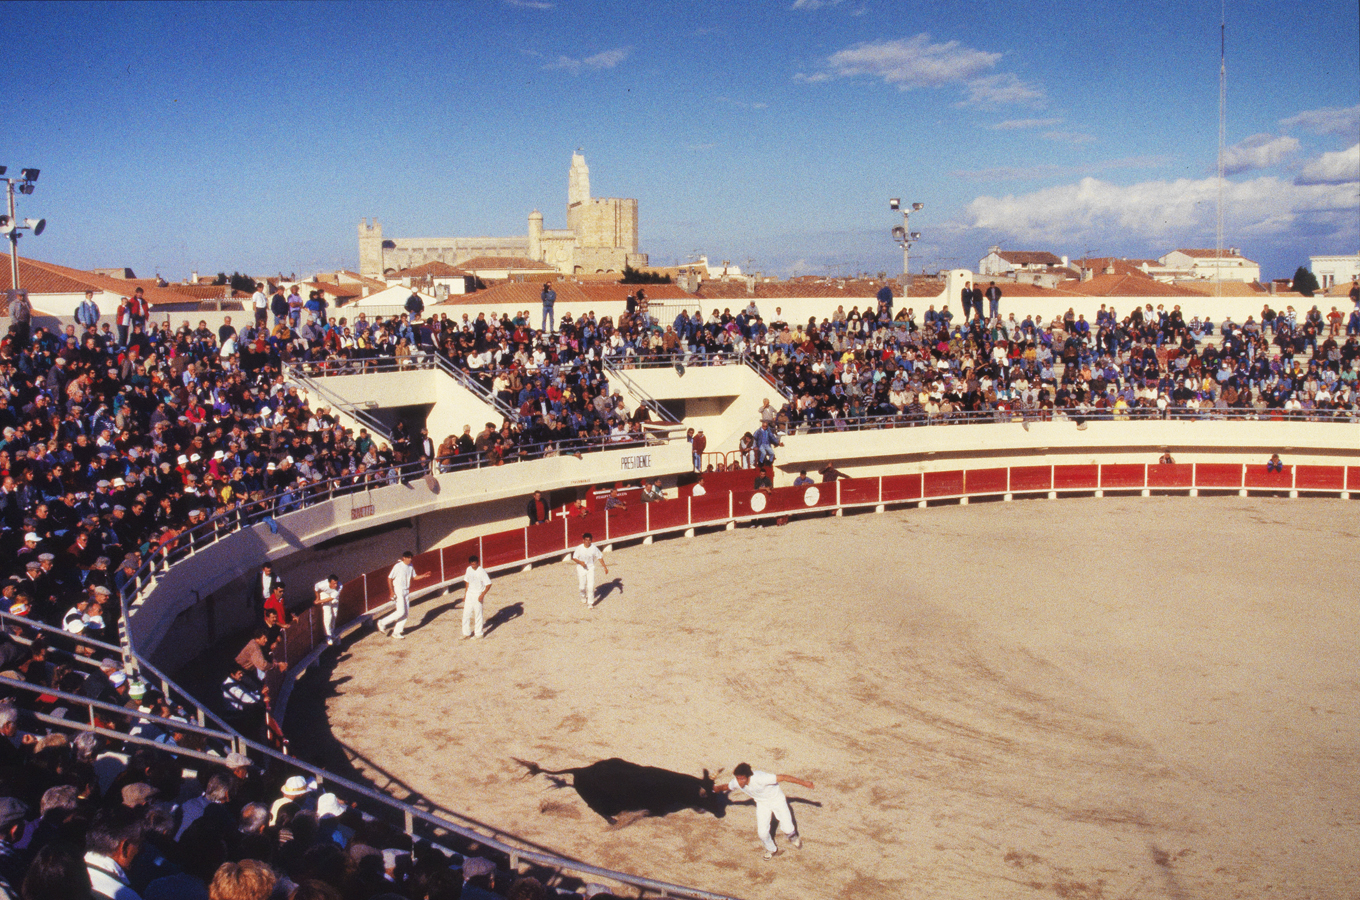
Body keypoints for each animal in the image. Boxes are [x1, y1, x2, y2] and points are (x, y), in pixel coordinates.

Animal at [511, 761, 728, 826]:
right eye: (709, 797)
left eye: (716, 794)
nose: (721, 813)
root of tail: (581, 769)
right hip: (602, 803)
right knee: (597, 808)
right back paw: (612, 820)